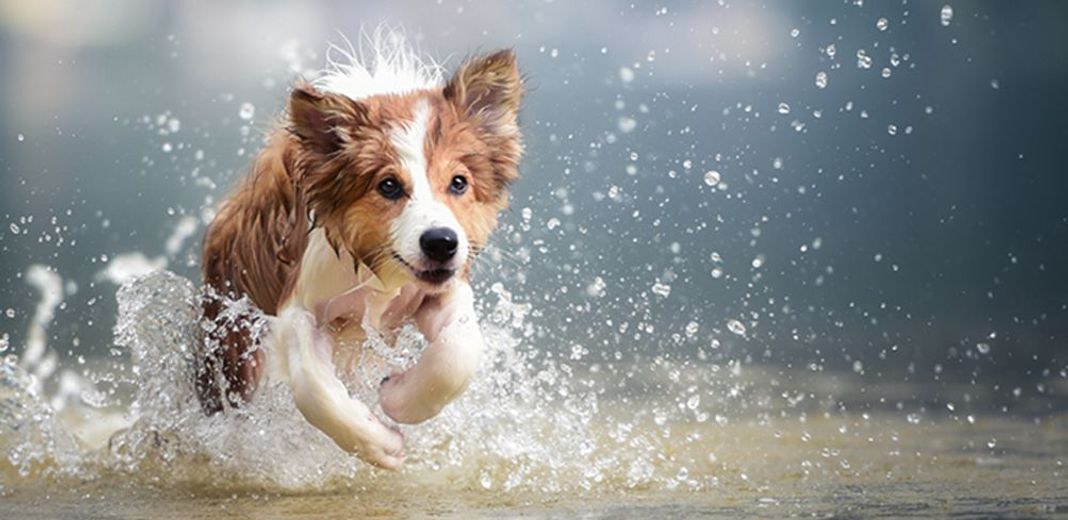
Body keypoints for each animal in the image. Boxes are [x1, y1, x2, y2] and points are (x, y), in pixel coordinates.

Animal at [197, 33, 525, 471]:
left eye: (459, 182)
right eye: (388, 185)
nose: (441, 242)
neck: (375, 269)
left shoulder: (441, 290)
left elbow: (457, 353)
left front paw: (396, 398)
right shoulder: (300, 307)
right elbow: (314, 390)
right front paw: (381, 444)